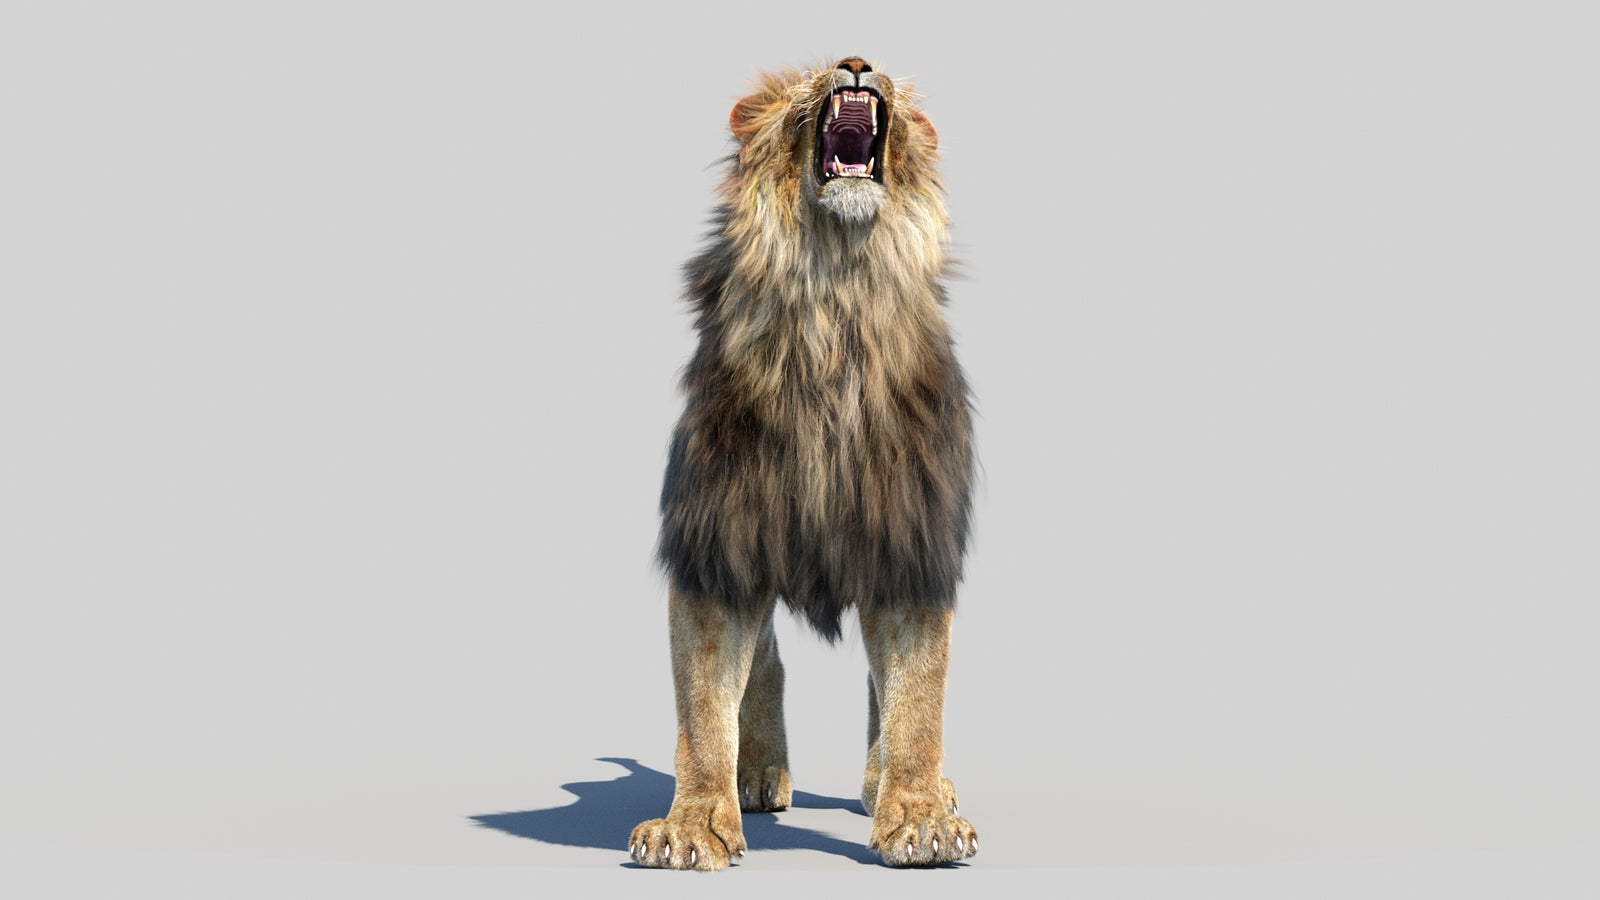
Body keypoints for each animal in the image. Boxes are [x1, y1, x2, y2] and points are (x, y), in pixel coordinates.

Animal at [629, 56, 977, 870]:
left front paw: (919, 817)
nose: (855, 62)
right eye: (806, 86)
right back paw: (756, 773)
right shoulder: (719, 540)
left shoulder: (910, 544)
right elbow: (703, 701)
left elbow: (917, 696)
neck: (835, 294)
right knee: (764, 660)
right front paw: (693, 824)